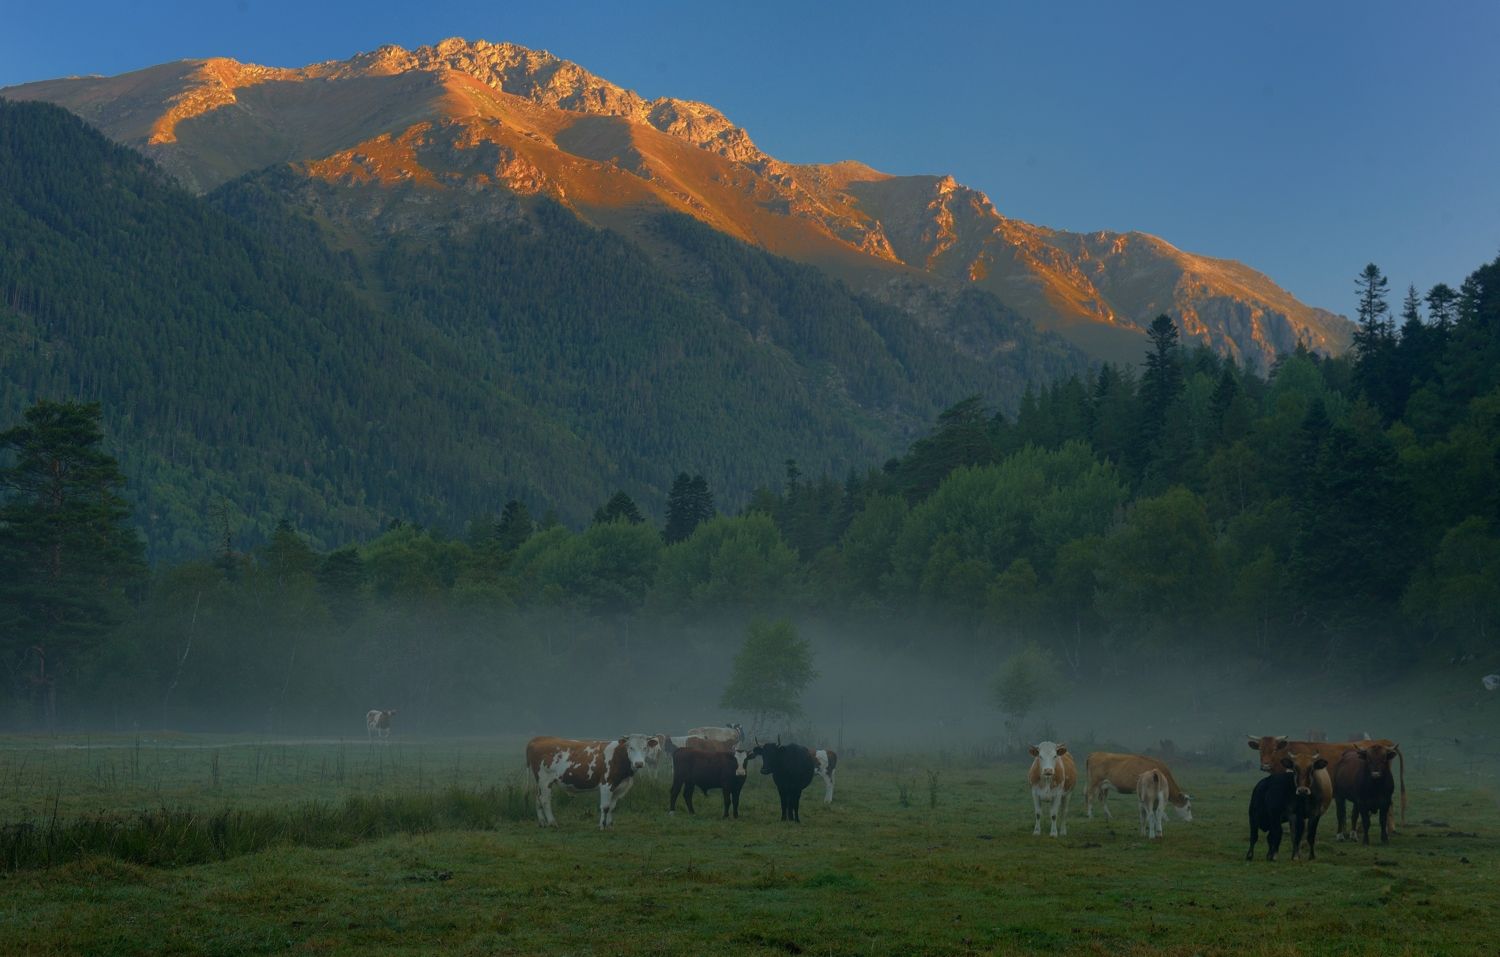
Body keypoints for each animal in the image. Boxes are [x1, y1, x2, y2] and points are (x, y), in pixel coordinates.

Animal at [531, 735, 666, 834]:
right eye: (631, 747)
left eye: (645, 748)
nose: (639, 763)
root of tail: (542, 738)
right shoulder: (607, 785)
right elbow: (605, 807)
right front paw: (602, 826)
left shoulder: (617, 788)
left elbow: (612, 807)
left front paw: (610, 825)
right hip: (545, 780)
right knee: (545, 801)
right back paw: (553, 823)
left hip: (539, 782)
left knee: (537, 799)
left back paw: (542, 823)